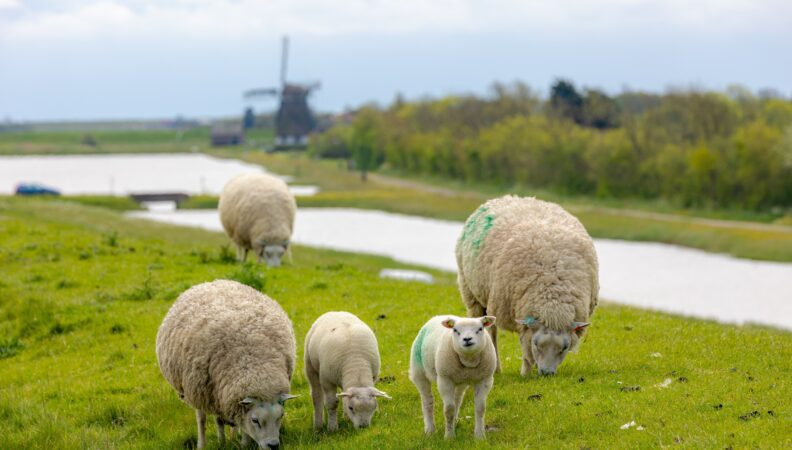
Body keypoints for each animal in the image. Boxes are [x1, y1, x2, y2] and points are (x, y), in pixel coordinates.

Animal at [156, 280, 298, 448]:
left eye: (281, 416)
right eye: (255, 420)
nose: (274, 445)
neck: (254, 365)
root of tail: (212, 282)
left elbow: (240, 424)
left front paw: (243, 444)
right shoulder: (201, 391)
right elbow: (204, 420)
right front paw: (208, 445)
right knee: (208, 418)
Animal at [454, 196, 596, 376]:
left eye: (564, 347)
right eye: (537, 344)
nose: (547, 374)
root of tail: (508, 197)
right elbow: (525, 349)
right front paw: (526, 373)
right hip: (473, 293)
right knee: (489, 330)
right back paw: (495, 367)